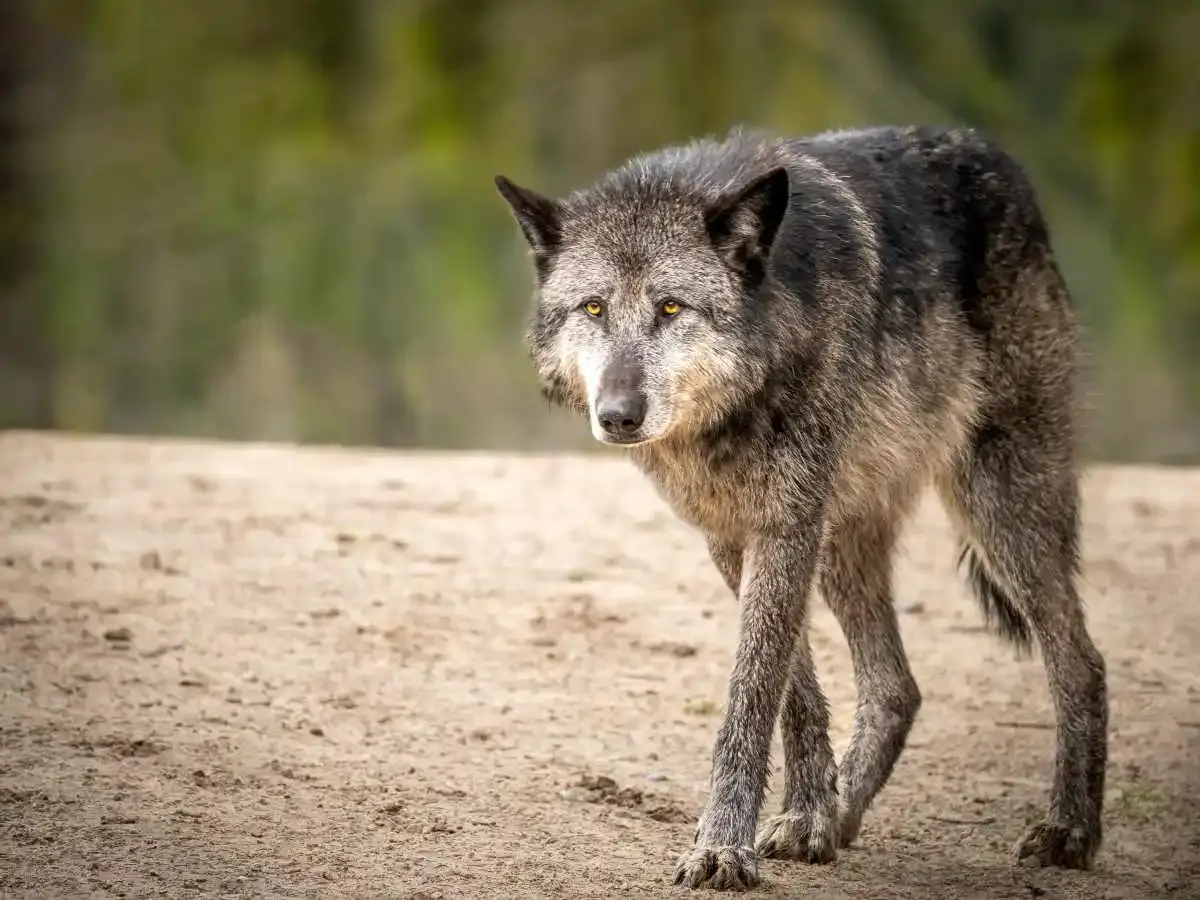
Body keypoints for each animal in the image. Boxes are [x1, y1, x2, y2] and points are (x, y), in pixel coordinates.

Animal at [494, 124, 1108, 891]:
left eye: (671, 308)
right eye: (594, 308)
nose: (618, 415)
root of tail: (998, 158)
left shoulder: (788, 524)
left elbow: (751, 696)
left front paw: (724, 848)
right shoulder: (736, 534)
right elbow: (794, 689)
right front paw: (810, 814)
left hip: (997, 505)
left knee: (1080, 660)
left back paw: (1071, 831)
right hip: (847, 538)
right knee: (898, 688)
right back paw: (844, 814)